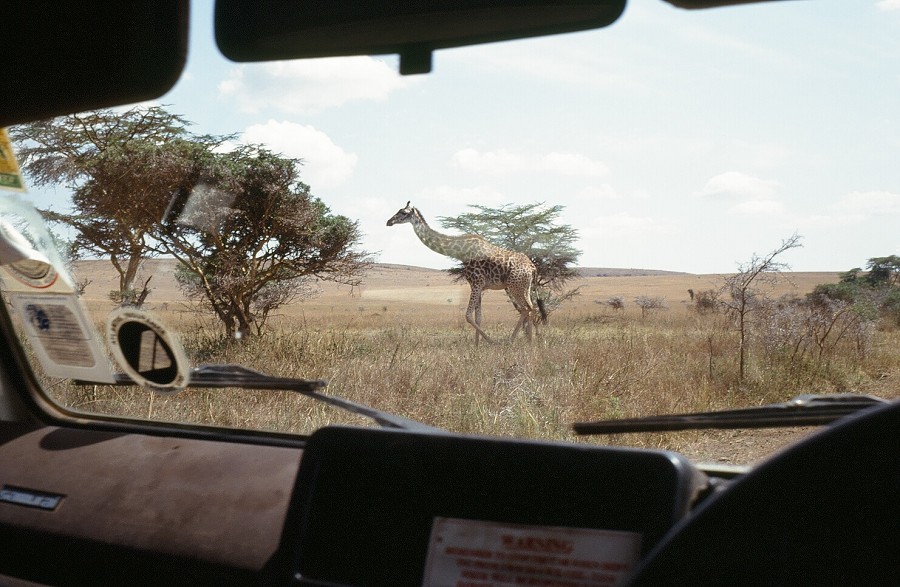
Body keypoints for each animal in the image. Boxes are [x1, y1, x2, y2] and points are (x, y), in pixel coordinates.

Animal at [384, 202, 544, 344]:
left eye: (403, 212)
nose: (389, 221)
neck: (460, 251)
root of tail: (532, 267)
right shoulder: (479, 286)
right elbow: (478, 317)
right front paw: (476, 346)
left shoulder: (476, 283)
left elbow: (468, 315)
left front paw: (491, 342)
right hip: (524, 287)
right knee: (529, 308)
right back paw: (529, 342)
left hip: (515, 286)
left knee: (527, 308)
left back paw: (513, 341)